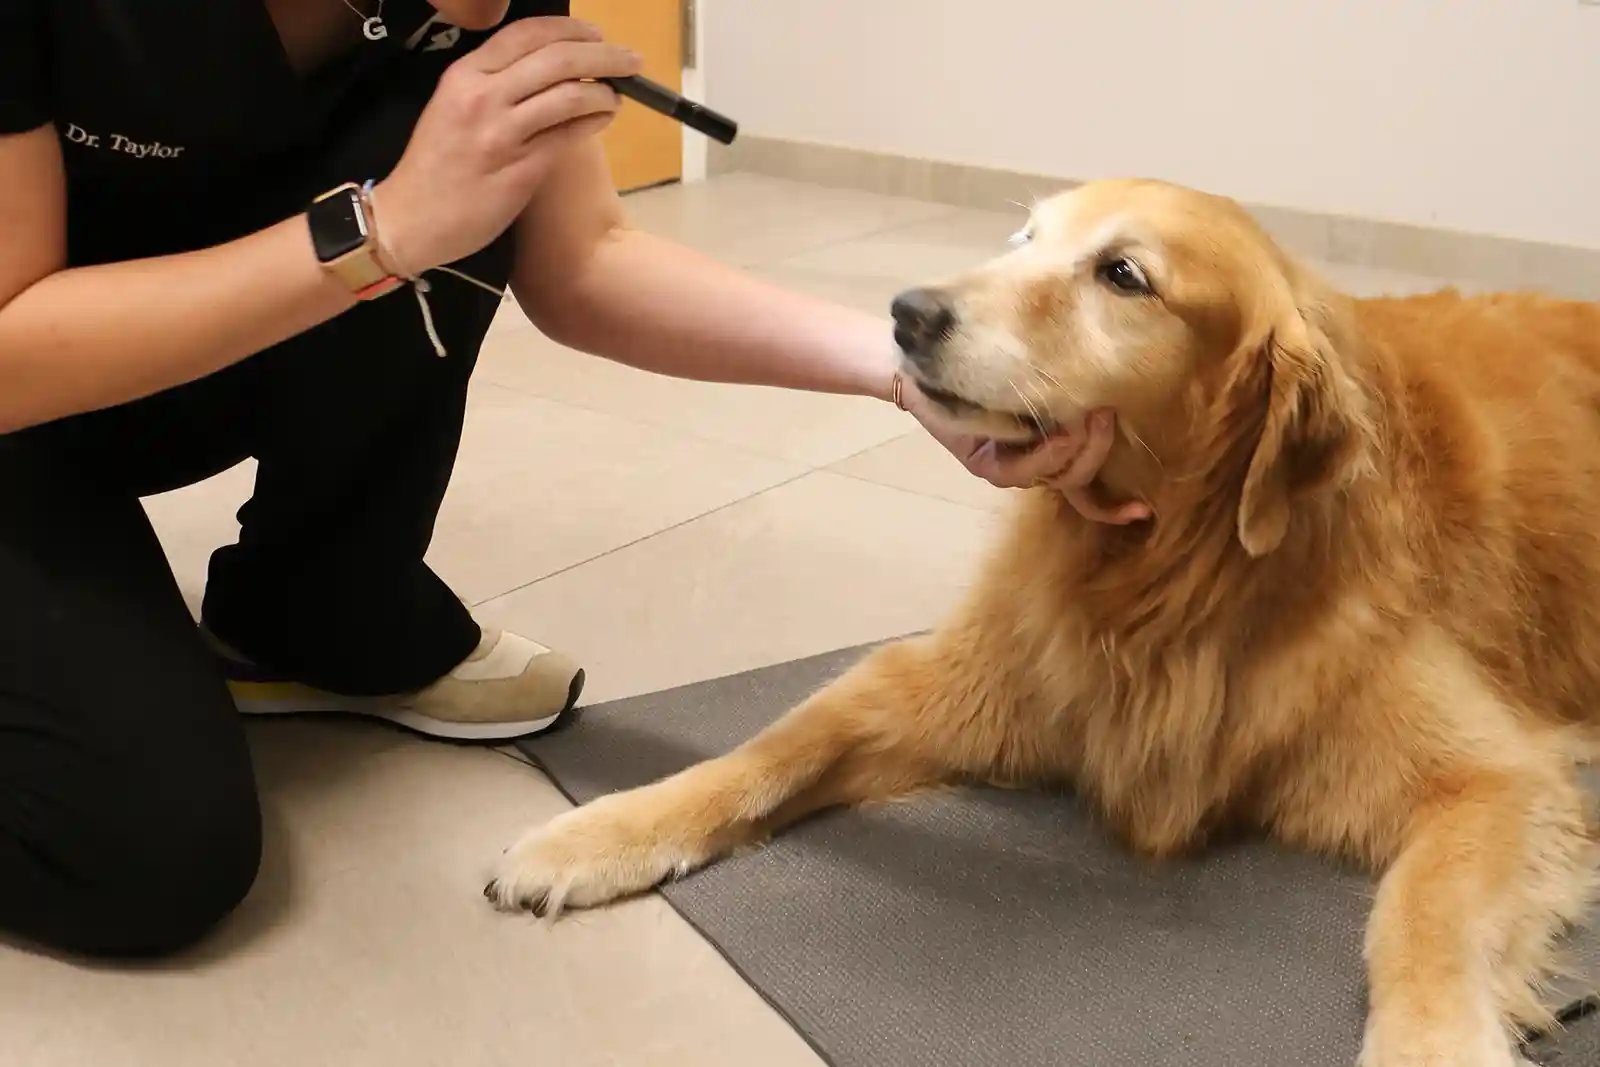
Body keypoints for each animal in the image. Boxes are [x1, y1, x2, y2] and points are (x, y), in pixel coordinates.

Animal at [483, 179, 1600, 1062]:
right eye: (1024, 236)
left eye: (1123, 275)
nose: (907, 311)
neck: (1169, 573)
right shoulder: (979, 674)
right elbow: (772, 747)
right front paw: (597, 832)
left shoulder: (1494, 775)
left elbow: (1420, 919)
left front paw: (1432, 1044)